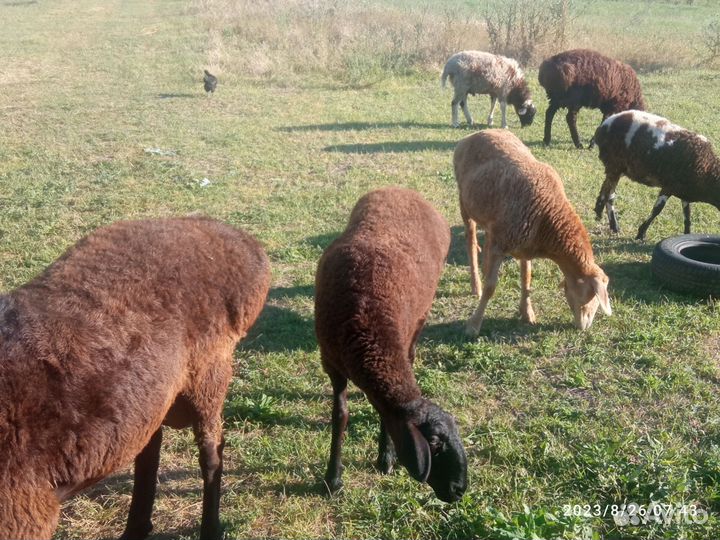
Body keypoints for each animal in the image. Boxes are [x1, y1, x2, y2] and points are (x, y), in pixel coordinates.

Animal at [0, 217, 271, 540]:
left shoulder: (22, 511)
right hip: (152, 397)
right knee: (150, 448)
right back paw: (137, 528)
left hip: (209, 371)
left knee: (211, 449)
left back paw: (210, 529)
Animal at [314, 187, 468, 503]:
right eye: (435, 443)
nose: (459, 491)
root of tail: (403, 189)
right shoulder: (331, 362)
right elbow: (340, 416)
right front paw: (332, 479)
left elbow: (383, 412)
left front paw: (385, 457)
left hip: (419, 320)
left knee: (411, 355)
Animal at [454, 129, 612, 336]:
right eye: (593, 295)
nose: (584, 327)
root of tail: (477, 133)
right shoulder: (502, 244)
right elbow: (491, 287)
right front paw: (473, 325)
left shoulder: (524, 248)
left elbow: (526, 281)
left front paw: (528, 314)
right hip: (465, 204)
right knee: (471, 242)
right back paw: (476, 285)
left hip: (490, 221)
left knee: (486, 239)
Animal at [593, 110, 720, 240]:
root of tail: (604, 126)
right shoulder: (669, 187)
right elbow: (657, 210)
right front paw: (641, 233)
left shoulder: (684, 193)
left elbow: (687, 215)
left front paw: (687, 234)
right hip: (615, 166)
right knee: (610, 196)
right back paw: (614, 225)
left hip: (616, 169)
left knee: (605, 190)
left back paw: (600, 214)